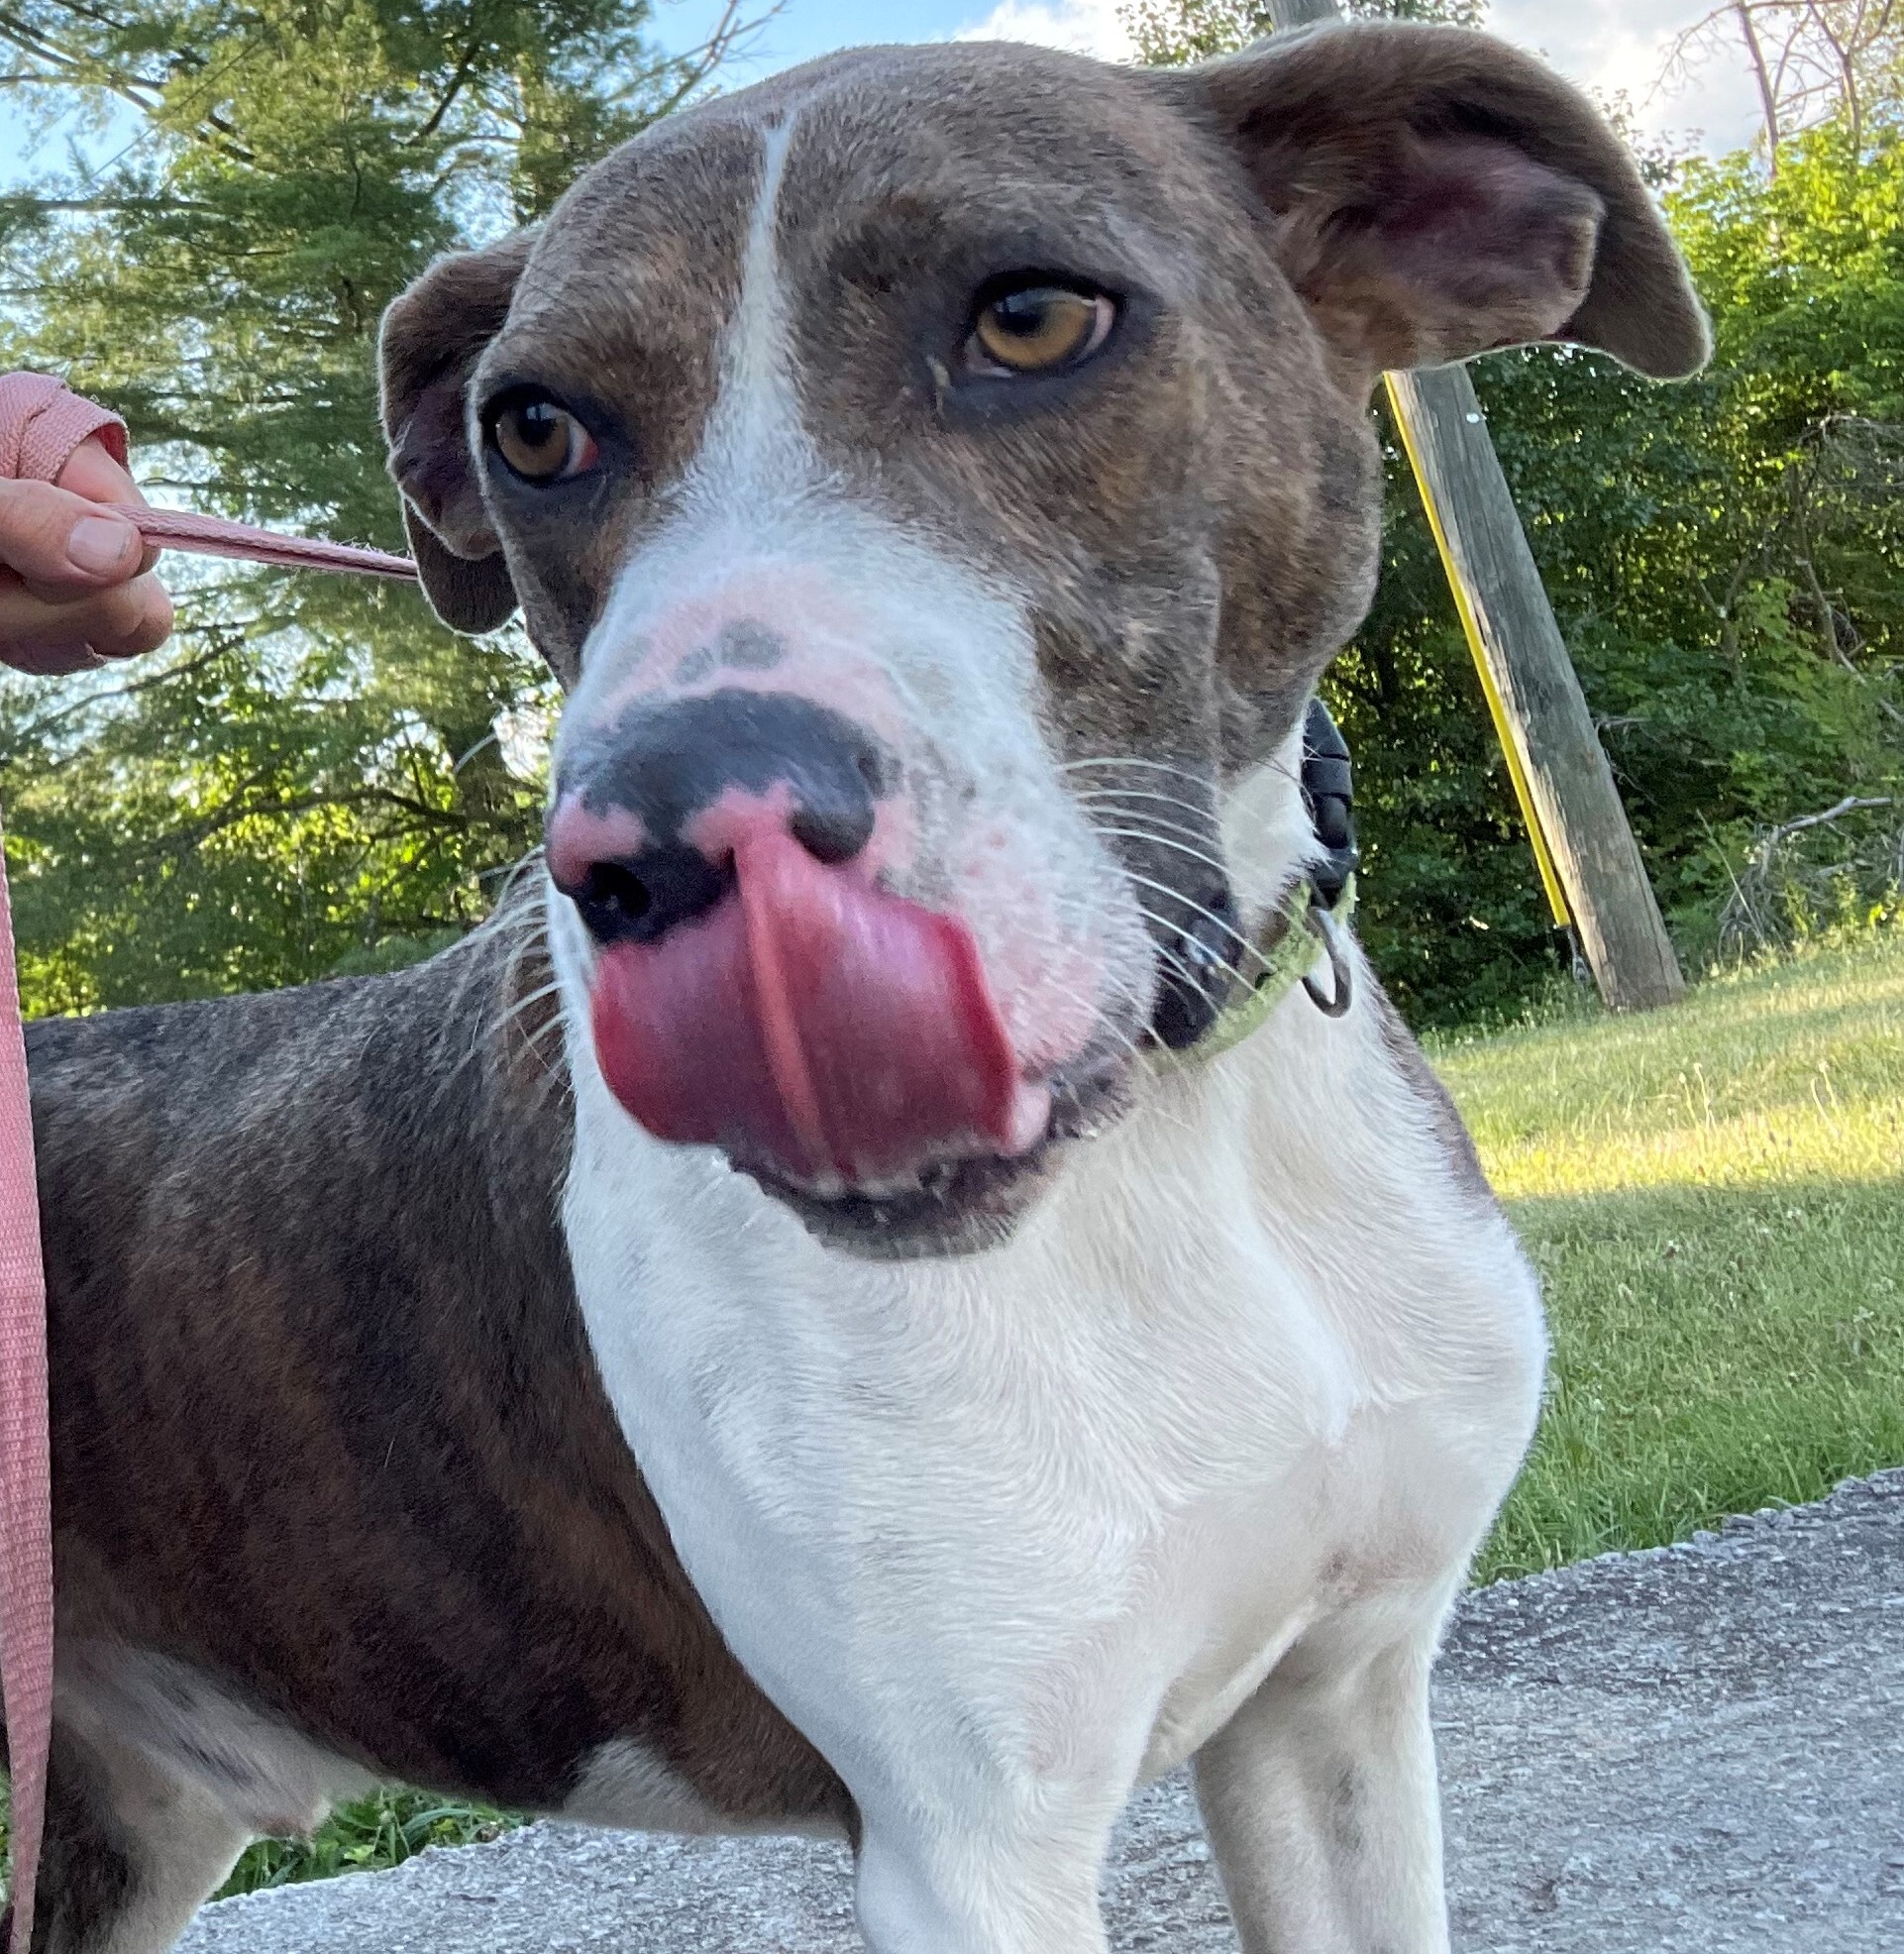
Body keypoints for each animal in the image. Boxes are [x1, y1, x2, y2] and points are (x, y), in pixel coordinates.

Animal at [15, 19, 1710, 1954]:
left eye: (1030, 318)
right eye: (536, 428)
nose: (670, 838)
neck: (1177, 1142)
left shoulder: (1332, 1704)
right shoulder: (971, 1845)